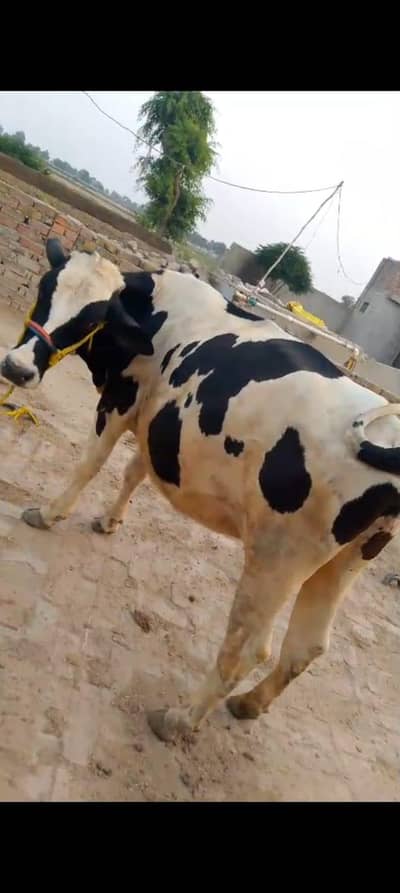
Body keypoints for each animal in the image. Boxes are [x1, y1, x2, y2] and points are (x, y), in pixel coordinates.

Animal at [2, 236, 400, 743]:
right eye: (45, 288)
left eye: (91, 319)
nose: (16, 368)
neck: (160, 313)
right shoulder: (157, 418)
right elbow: (135, 469)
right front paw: (109, 521)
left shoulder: (122, 399)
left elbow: (92, 462)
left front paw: (48, 514)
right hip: (348, 559)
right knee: (306, 647)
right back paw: (248, 705)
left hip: (277, 557)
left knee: (248, 649)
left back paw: (178, 719)